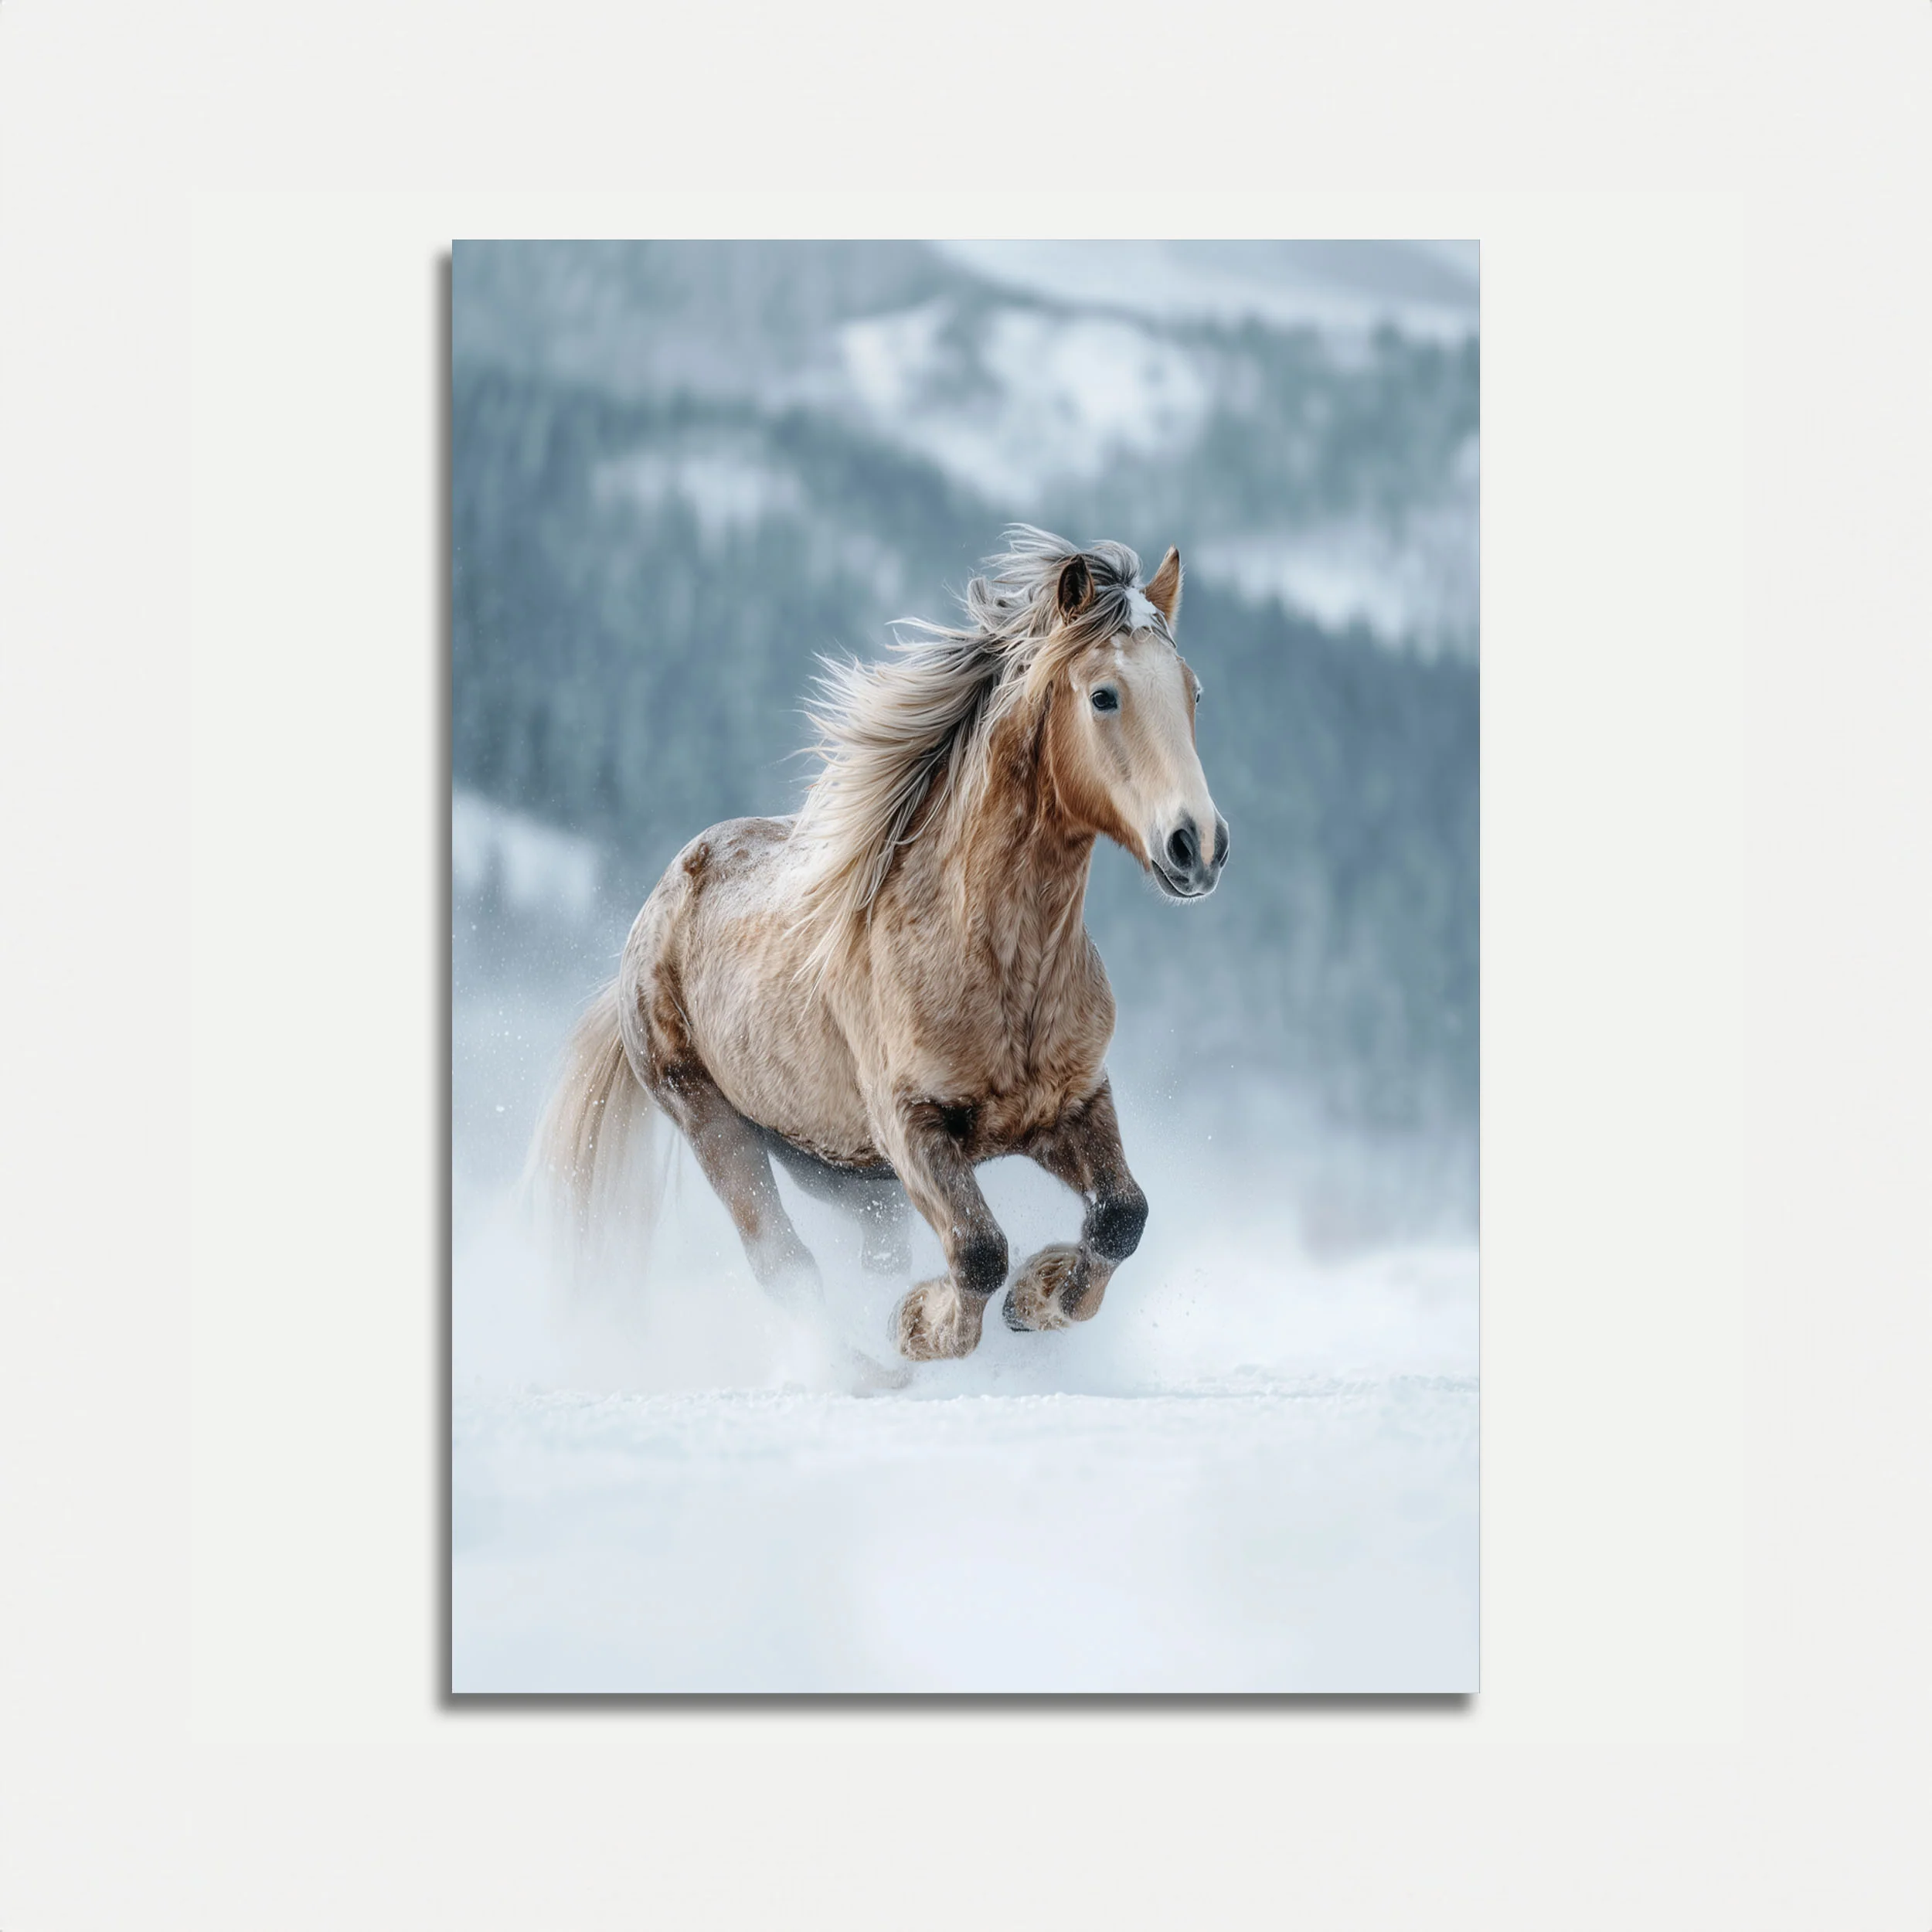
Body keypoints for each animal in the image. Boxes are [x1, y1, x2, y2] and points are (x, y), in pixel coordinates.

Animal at [531, 526, 1228, 1366]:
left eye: (1193, 692)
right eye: (1103, 694)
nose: (1198, 845)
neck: (997, 967)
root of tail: (658, 907)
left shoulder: (1075, 1103)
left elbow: (1123, 1215)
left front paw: (1040, 1298)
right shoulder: (911, 1127)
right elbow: (978, 1250)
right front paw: (922, 1327)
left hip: (833, 1163)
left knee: (864, 1250)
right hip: (715, 1122)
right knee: (784, 1263)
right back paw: (859, 1367)